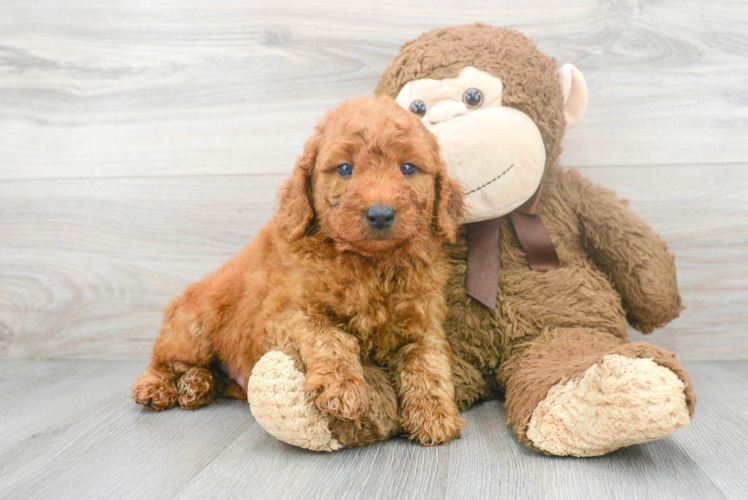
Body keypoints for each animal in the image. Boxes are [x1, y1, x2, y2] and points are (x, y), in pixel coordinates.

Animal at [131, 96, 464, 446]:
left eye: (408, 168)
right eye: (344, 168)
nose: (380, 214)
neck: (370, 264)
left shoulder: (424, 322)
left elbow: (428, 362)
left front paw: (434, 414)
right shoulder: (284, 313)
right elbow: (330, 335)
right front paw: (342, 388)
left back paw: (196, 386)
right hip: (194, 328)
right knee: (163, 360)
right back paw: (156, 387)